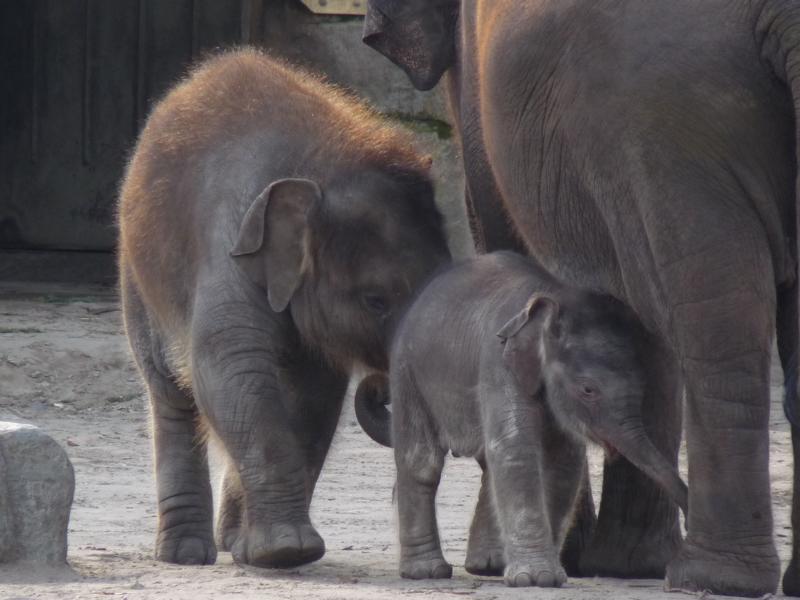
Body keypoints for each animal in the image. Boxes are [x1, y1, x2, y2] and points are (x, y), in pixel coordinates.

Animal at [117, 48, 450, 569]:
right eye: (375, 300)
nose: (381, 387)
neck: (322, 162)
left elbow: (312, 394)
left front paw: (265, 552)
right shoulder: (227, 246)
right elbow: (227, 368)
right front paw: (286, 551)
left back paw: (231, 544)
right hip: (137, 279)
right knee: (169, 391)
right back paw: (186, 554)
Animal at [388, 251, 687, 587]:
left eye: (642, 384)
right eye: (588, 390)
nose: (691, 514)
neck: (555, 300)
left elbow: (563, 462)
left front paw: (548, 575)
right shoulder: (498, 363)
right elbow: (515, 449)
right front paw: (536, 578)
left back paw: (490, 565)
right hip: (406, 371)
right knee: (422, 461)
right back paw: (426, 573)